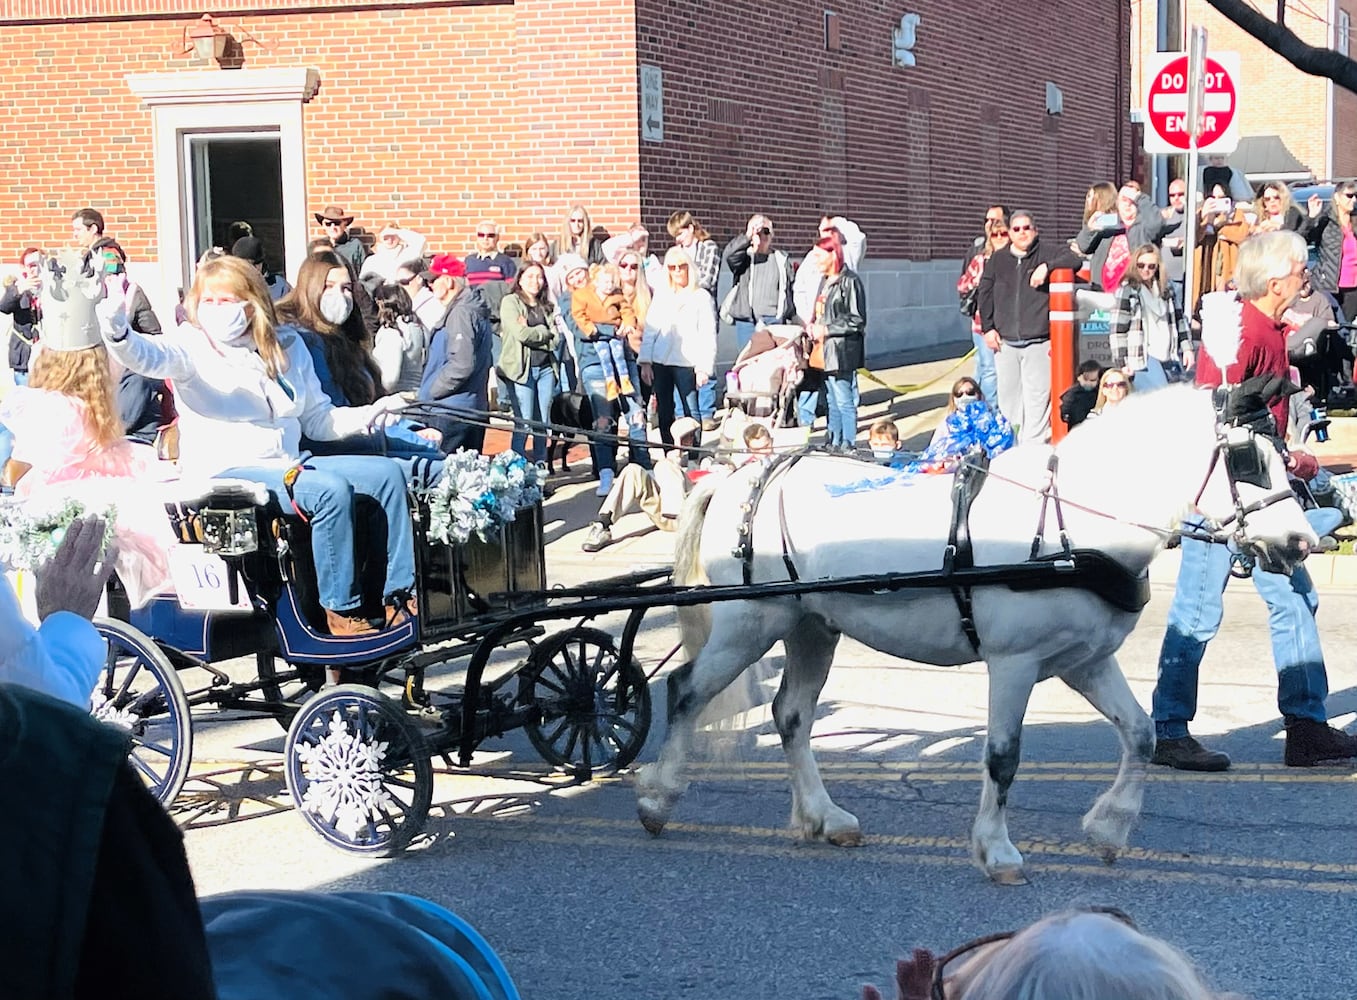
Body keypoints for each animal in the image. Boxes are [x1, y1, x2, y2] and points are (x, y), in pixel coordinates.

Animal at [635, 382, 1313, 879]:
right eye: (1250, 461)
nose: (1303, 542)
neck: (1068, 523)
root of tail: (744, 478)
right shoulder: (1014, 663)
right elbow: (1002, 756)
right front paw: (997, 850)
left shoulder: (1084, 661)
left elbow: (1141, 735)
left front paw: (1109, 826)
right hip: (750, 624)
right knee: (687, 690)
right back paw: (656, 799)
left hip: (812, 626)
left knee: (792, 715)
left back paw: (824, 817)